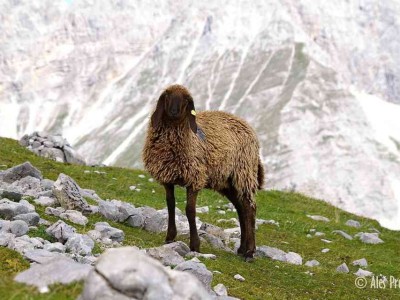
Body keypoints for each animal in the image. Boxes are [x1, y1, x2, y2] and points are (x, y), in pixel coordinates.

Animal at [142, 84, 264, 258]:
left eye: (187, 100)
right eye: (167, 96)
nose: (174, 112)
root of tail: (245, 123)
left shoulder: (194, 178)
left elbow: (190, 210)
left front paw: (195, 245)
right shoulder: (167, 177)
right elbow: (170, 204)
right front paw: (170, 237)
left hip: (243, 173)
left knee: (250, 208)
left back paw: (249, 252)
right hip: (227, 181)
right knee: (241, 209)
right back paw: (242, 249)